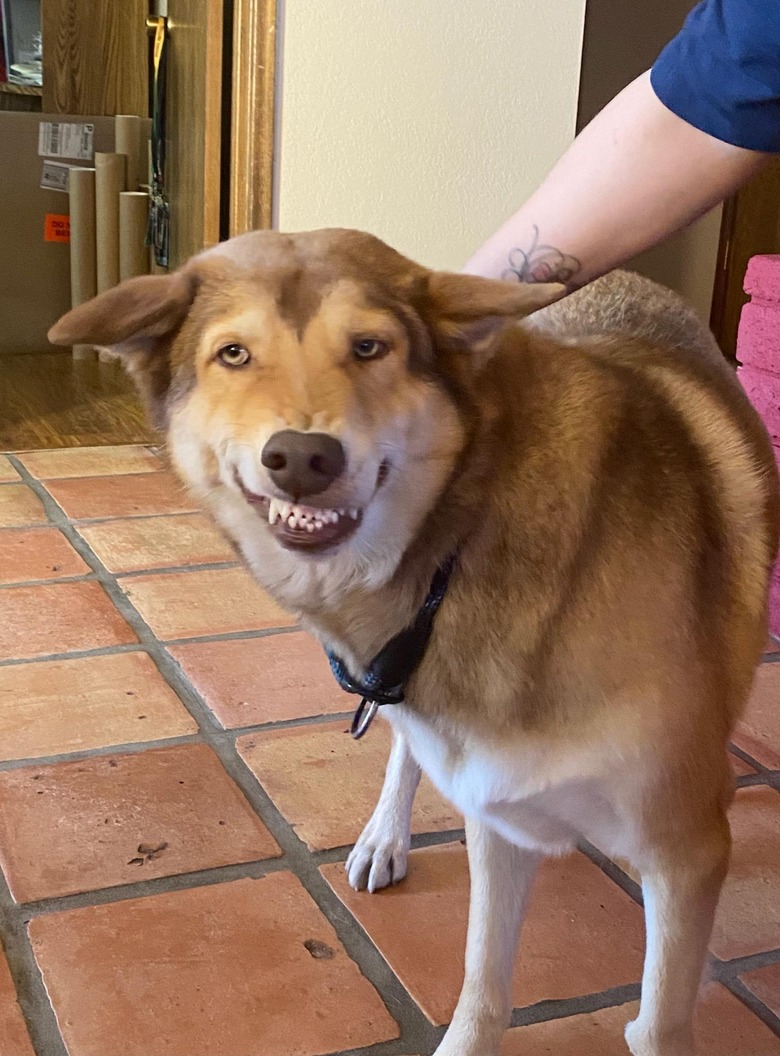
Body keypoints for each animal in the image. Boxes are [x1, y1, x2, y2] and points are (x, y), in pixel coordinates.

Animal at [51, 231, 776, 1056]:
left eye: (371, 347)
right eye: (233, 354)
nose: (302, 457)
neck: (462, 543)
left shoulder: (684, 854)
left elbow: (656, 1023)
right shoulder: (494, 816)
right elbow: (483, 982)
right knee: (404, 747)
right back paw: (384, 836)